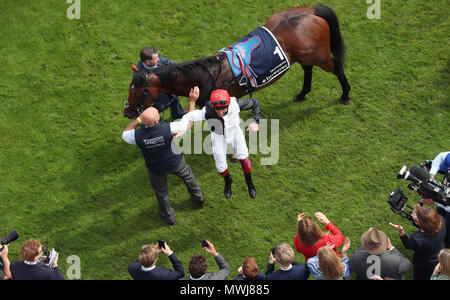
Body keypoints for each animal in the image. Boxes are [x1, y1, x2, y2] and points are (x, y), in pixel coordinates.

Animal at [123, 3, 352, 118]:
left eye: (137, 93)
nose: (127, 112)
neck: (204, 76)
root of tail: (311, 11)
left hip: (320, 56)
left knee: (337, 67)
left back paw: (345, 95)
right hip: (303, 55)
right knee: (308, 70)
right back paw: (303, 93)